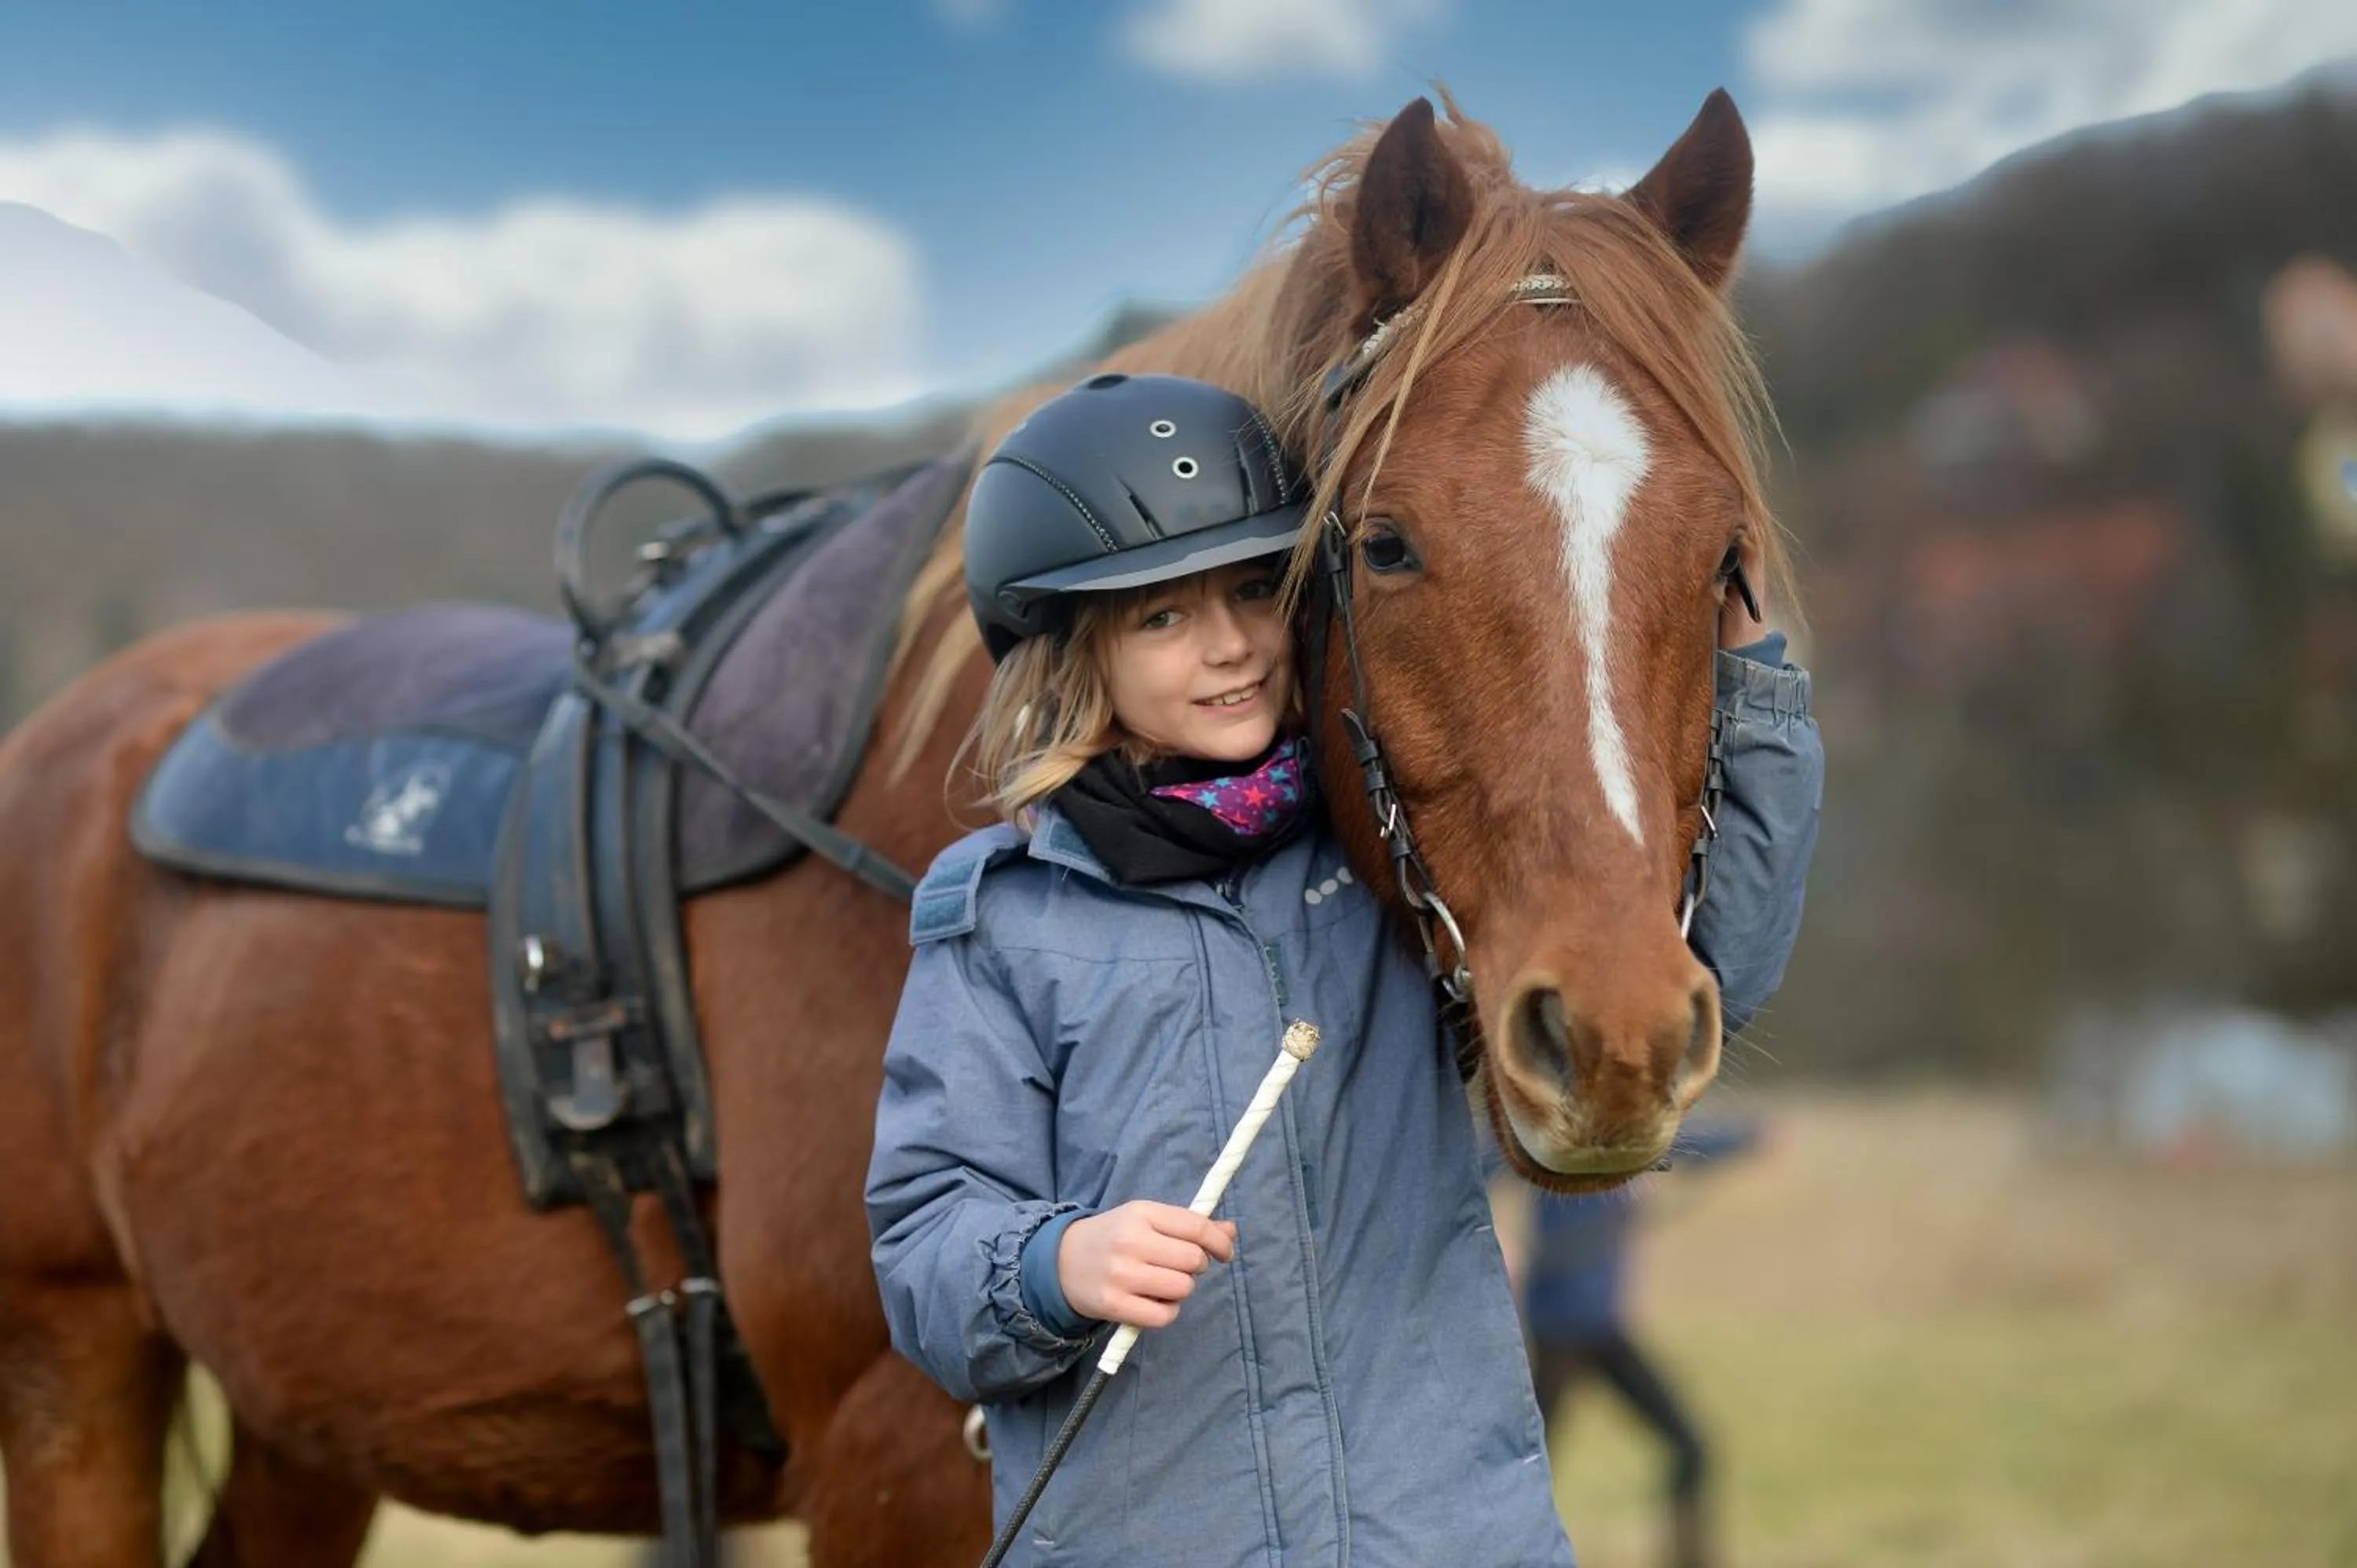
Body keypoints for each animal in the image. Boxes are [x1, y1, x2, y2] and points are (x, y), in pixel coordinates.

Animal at [0, 89, 1786, 1566]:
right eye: (1391, 544)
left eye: (1722, 561)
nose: (1618, 1037)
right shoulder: (894, 1466)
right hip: (74, 1366)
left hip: (304, 1409)